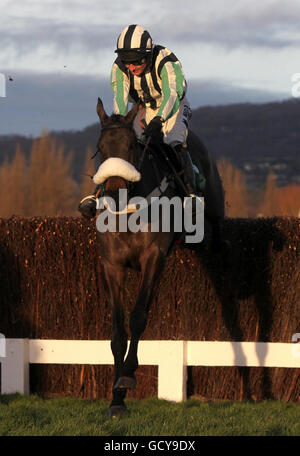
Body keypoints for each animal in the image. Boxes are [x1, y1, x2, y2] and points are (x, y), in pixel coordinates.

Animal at [91, 97, 225, 416]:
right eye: (101, 147)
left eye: (131, 146)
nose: (115, 191)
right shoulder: (112, 265)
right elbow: (117, 330)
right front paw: (117, 400)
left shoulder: (154, 258)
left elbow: (139, 316)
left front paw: (128, 375)